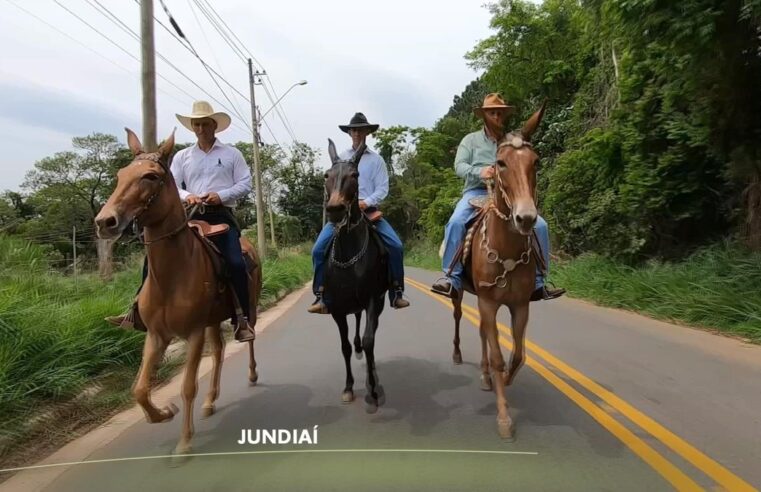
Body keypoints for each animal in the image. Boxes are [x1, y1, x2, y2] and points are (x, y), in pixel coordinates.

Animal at [94, 128, 262, 454]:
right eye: (120, 175)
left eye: (150, 176)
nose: (105, 222)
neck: (172, 277)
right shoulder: (156, 335)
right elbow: (139, 389)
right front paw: (163, 413)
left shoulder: (193, 332)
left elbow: (187, 386)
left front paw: (184, 442)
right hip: (213, 320)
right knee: (219, 351)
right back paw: (210, 401)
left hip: (249, 306)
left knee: (249, 337)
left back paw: (251, 372)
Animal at [452, 102, 548, 440]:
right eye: (500, 163)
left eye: (535, 162)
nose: (526, 218)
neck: (505, 250)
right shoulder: (489, 302)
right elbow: (497, 357)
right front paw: (504, 417)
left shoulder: (519, 305)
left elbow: (518, 355)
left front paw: (503, 382)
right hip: (461, 294)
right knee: (460, 318)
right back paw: (460, 357)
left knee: (483, 331)